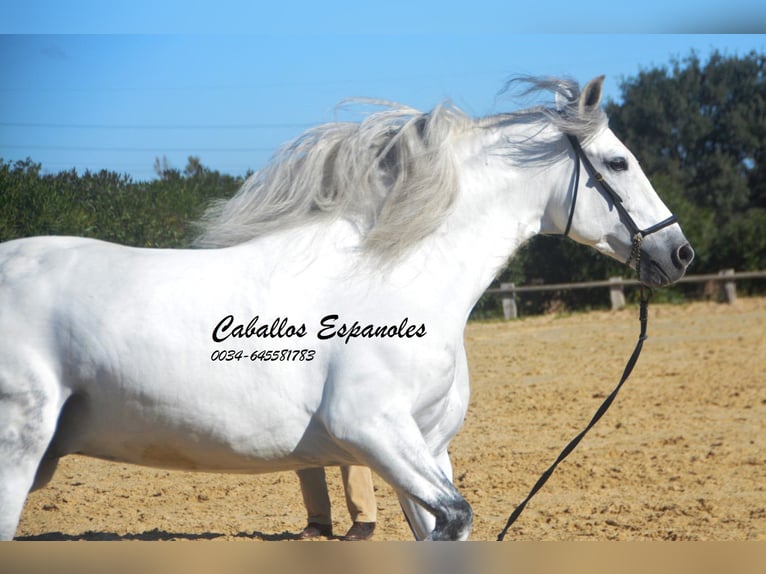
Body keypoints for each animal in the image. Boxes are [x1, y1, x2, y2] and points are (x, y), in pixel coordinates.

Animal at [0, 76, 696, 540]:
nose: (680, 252)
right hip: (17, 451)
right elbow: (456, 516)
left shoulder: (425, 447)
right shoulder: (372, 429)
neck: (395, 276)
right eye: (617, 161)